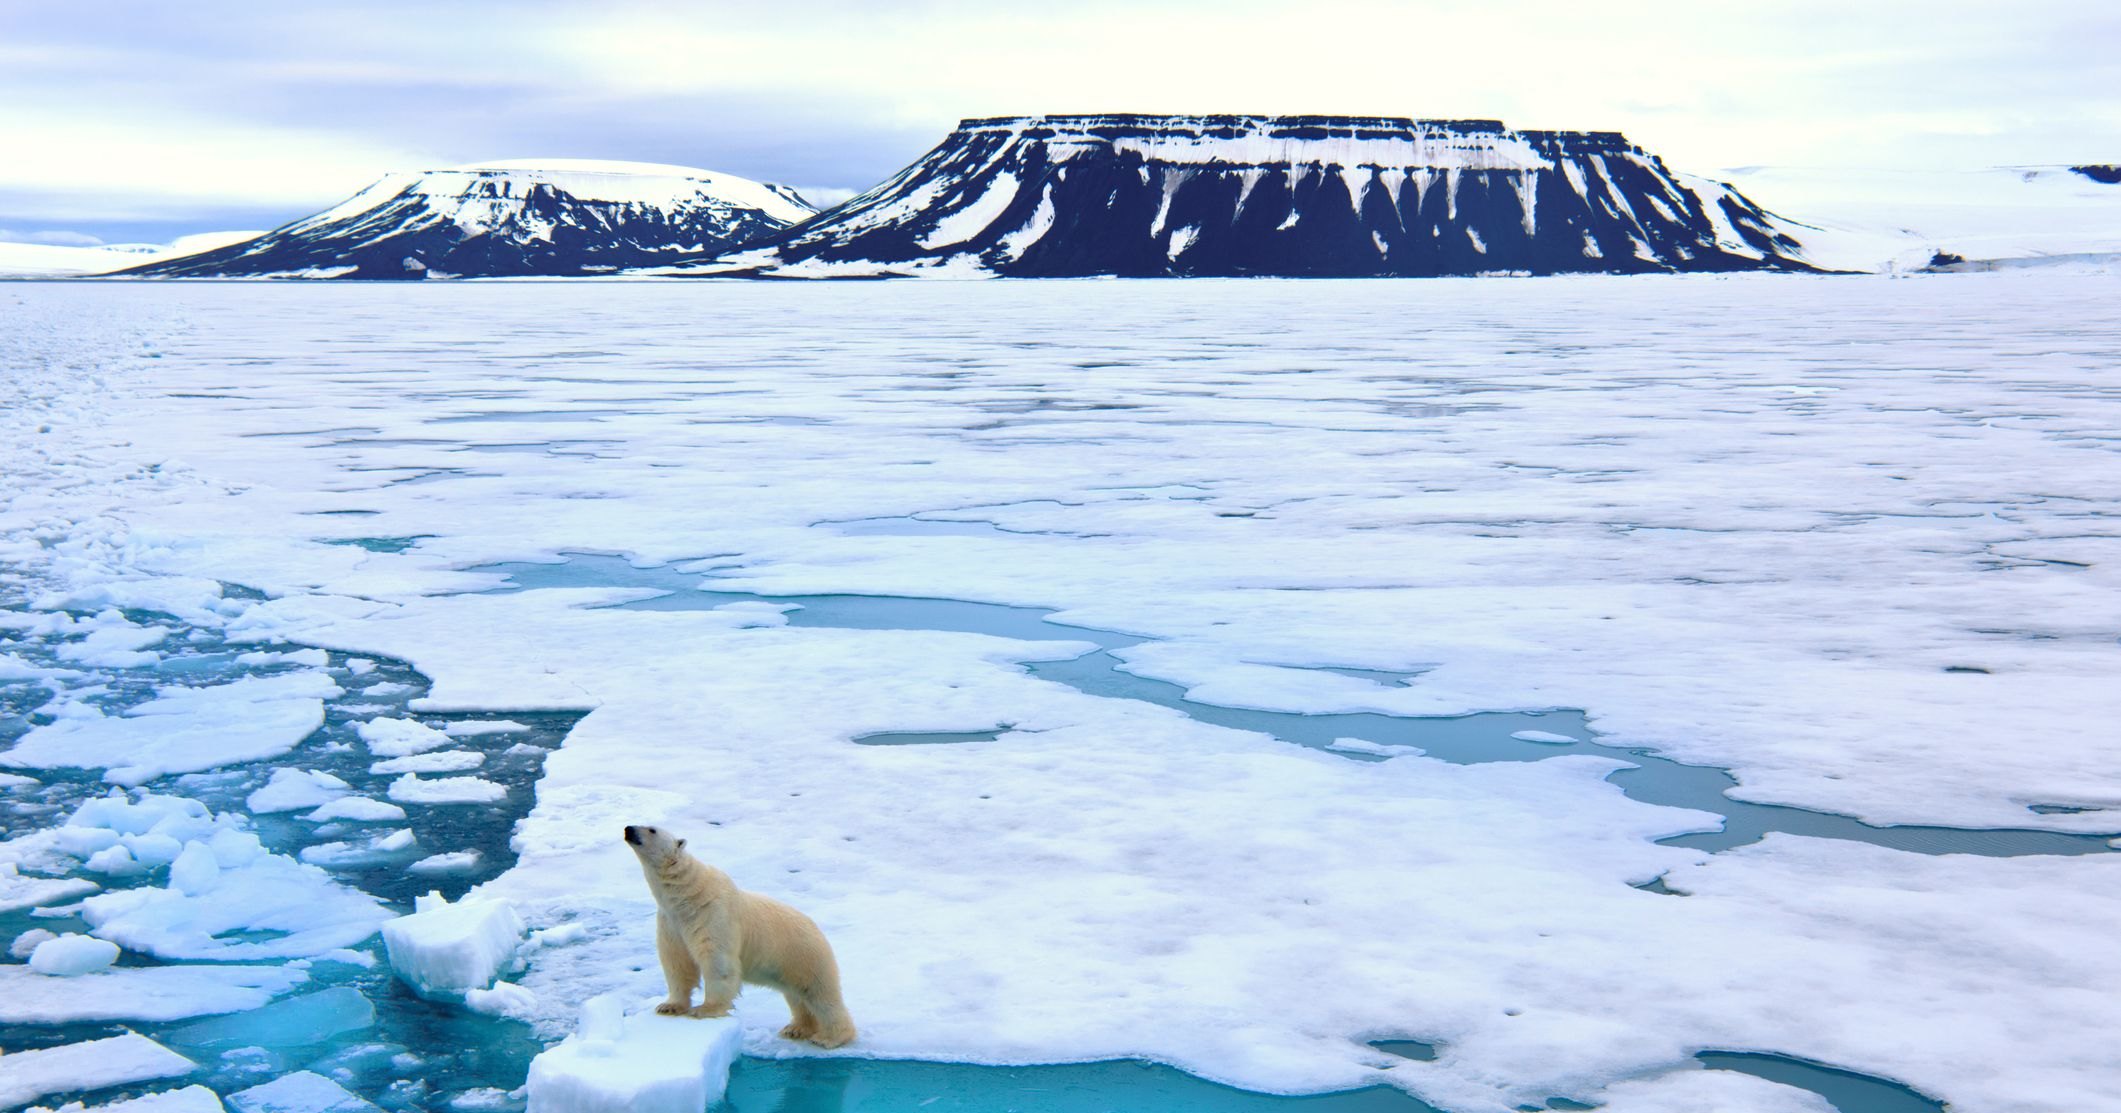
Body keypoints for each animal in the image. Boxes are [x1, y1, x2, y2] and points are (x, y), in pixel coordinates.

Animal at [623, 818, 856, 1047]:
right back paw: (796, 1029)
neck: (687, 895)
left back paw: (830, 1037)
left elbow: (718, 961)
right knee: (797, 996)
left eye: (652, 829)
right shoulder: (671, 923)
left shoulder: (713, 914)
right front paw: (668, 1006)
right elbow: (677, 962)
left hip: (805, 955)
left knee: (820, 995)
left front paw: (705, 1009)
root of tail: (817, 929)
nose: (628, 828)